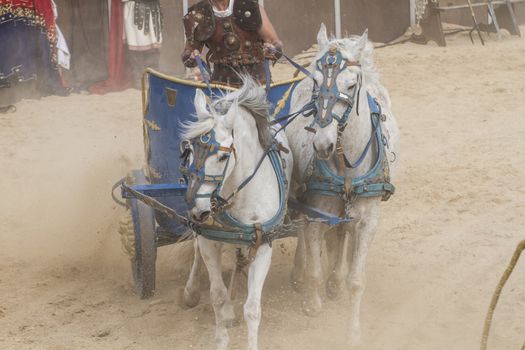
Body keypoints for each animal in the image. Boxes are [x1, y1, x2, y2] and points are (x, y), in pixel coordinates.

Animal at [182, 78, 292, 350]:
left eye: (223, 156)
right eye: (189, 151)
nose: (198, 210)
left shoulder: (262, 246)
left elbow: (252, 308)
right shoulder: (209, 241)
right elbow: (218, 298)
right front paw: (222, 336)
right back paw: (191, 292)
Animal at [284, 23, 400, 344]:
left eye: (350, 85)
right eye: (316, 81)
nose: (322, 144)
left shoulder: (368, 219)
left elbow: (356, 280)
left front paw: (354, 332)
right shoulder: (314, 212)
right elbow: (314, 266)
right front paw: (312, 303)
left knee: (341, 236)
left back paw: (335, 280)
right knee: (305, 233)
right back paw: (301, 274)